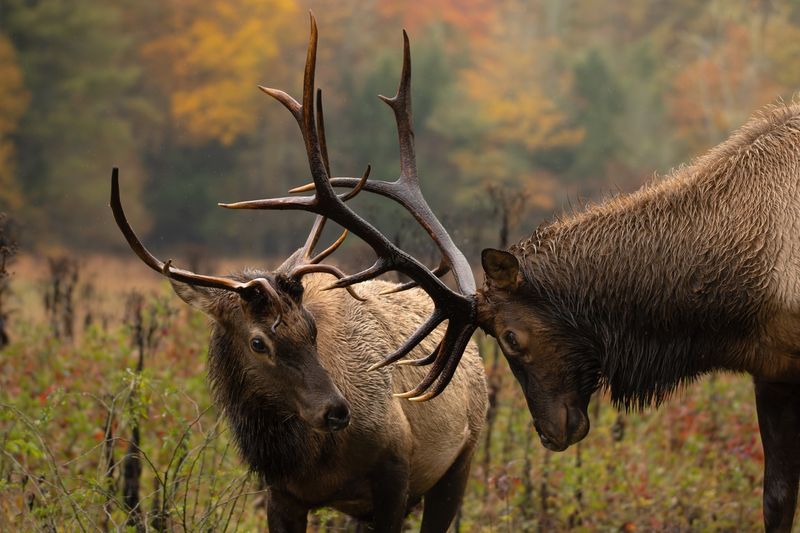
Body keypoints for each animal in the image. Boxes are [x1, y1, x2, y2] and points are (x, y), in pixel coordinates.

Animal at [107, 17, 488, 532]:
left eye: (310, 329)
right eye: (257, 341)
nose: (336, 411)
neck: (313, 460)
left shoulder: (396, 471)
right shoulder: (281, 494)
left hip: (462, 459)